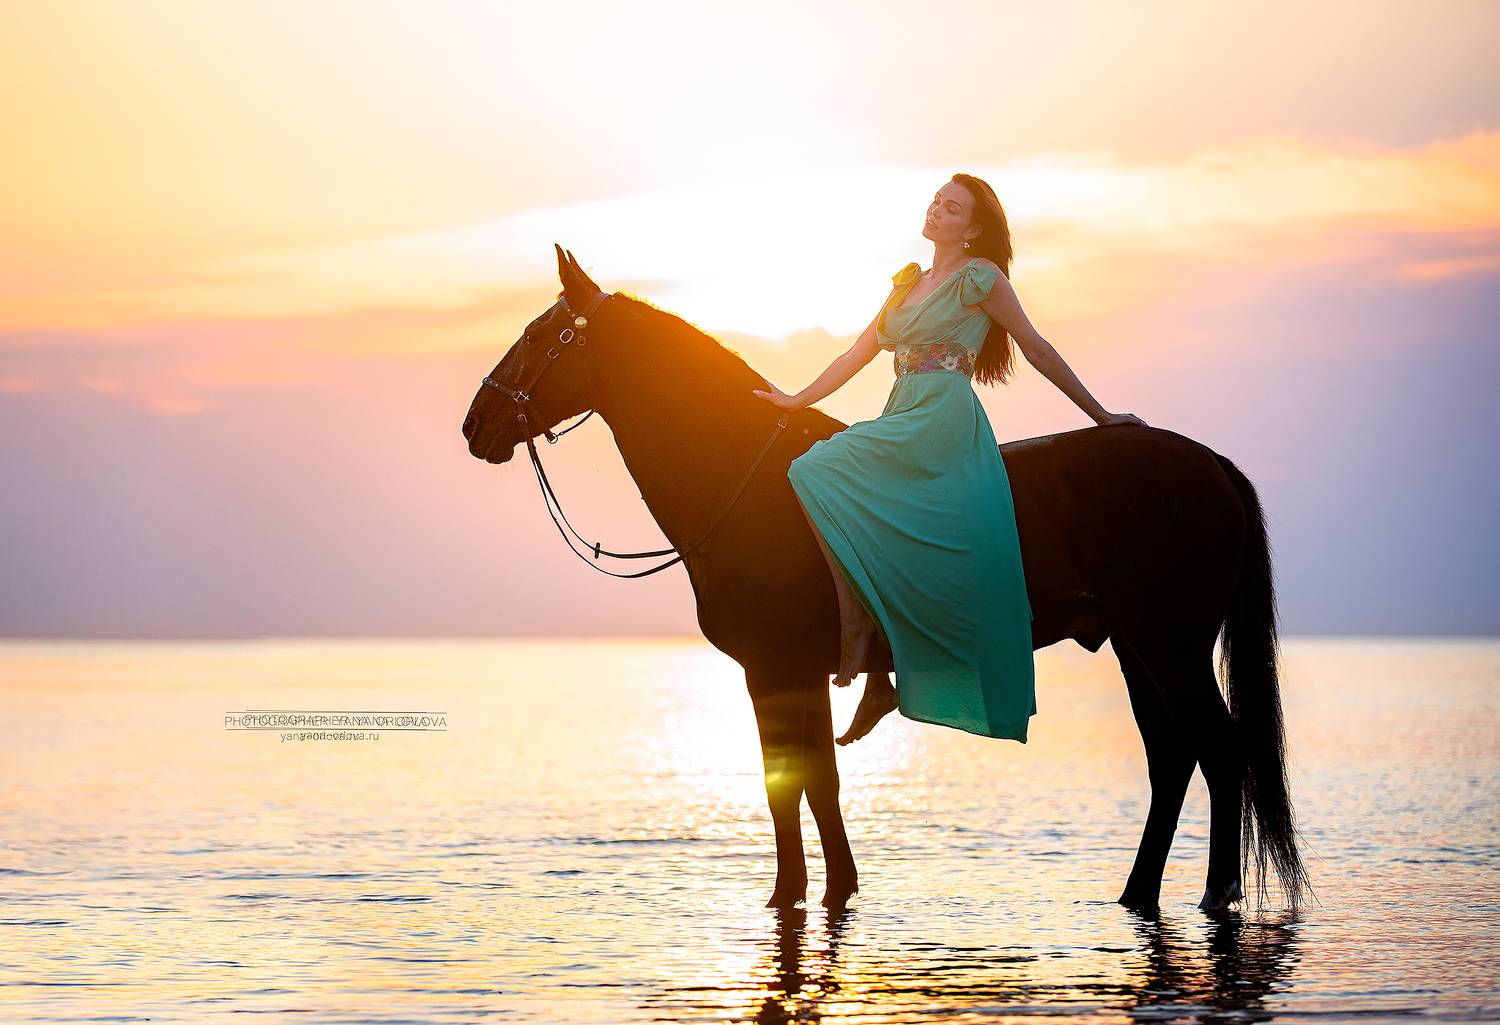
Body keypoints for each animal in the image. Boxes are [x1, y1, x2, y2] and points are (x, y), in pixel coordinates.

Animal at [461, 246, 1311, 916]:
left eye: (540, 338)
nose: (474, 425)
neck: (746, 481)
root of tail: (1208, 462)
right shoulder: (790, 672)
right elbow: (813, 783)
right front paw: (823, 888)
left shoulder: (776, 668)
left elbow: (792, 783)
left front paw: (801, 892)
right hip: (1141, 648)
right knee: (1174, 759)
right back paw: (1137, 893)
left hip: (1169, 645)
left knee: (1219, 751)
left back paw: (1214, 893)